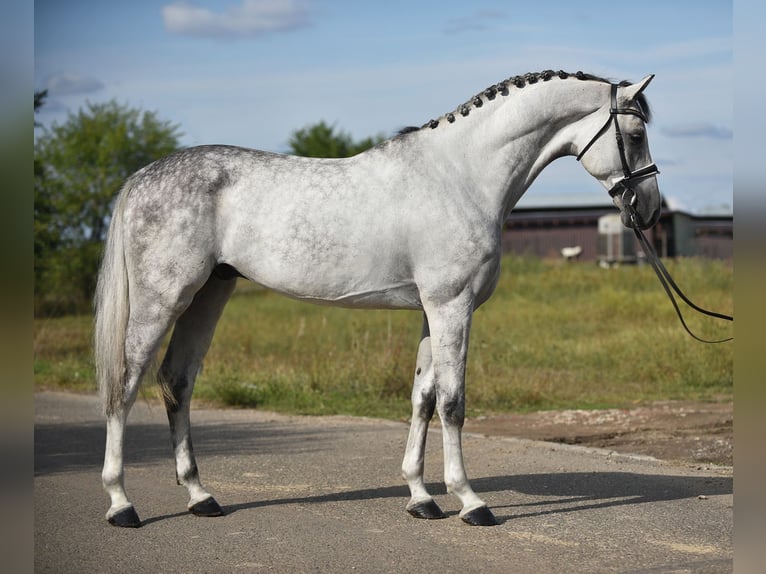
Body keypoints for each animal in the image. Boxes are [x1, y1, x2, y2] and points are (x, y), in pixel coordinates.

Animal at [94, 70, 660, 528]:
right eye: (635, 135)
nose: (649, 209)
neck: (462, 175)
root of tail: (141, 177)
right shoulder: (452, 306)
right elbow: (453, 403)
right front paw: (470, 502)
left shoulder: (433, 311)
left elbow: (422, 398)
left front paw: (421, 498)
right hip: (163, 299)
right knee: (125, 383)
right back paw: (121, 504)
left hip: (209, 294)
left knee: (177, 381)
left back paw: (200, 496)